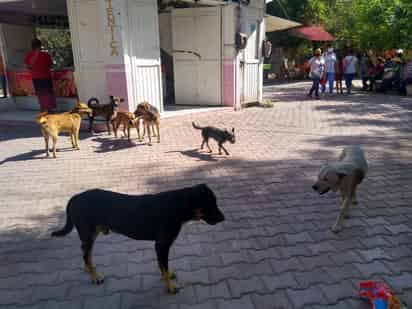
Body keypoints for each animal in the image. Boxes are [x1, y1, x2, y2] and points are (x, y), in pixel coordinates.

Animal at [52, 184, 225, 292]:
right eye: (210, 205)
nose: (223, 218)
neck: (178, 206)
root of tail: (75, 197)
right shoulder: (161, 245)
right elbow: (163, 266)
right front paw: (170, 286)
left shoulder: (160, 247)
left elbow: (163, 267)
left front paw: (168, 276)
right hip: (88, 234)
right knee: (86, 254)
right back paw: (95, 276)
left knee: (85, 253)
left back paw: (89, 270)